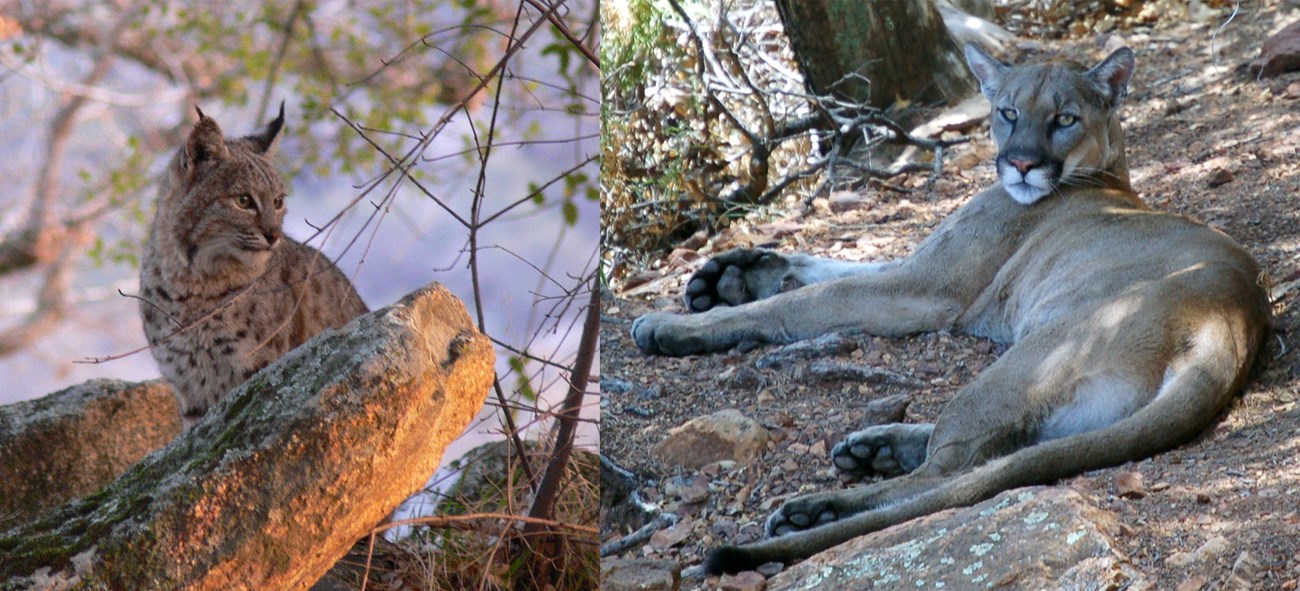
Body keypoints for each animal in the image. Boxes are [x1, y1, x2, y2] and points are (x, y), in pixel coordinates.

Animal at [140, 103, 369, 423]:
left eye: (277, 202)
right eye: (244, 201)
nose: (273, 235)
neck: (191, 277)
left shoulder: (255, 372)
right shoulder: (187, 386)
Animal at [629, 45, 1268, 574]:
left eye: (1064, 119)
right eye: (1007, 112)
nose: (1022, 164)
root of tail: (1230, 322)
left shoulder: (927, 287)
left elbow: (812, 298)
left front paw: (674, 323)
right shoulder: (917, 270)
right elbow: (830, 267)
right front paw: (729, 274)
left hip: (1029, 359)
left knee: (949, 474)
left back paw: (818, 508)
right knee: (992, 453)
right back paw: (872, 447)